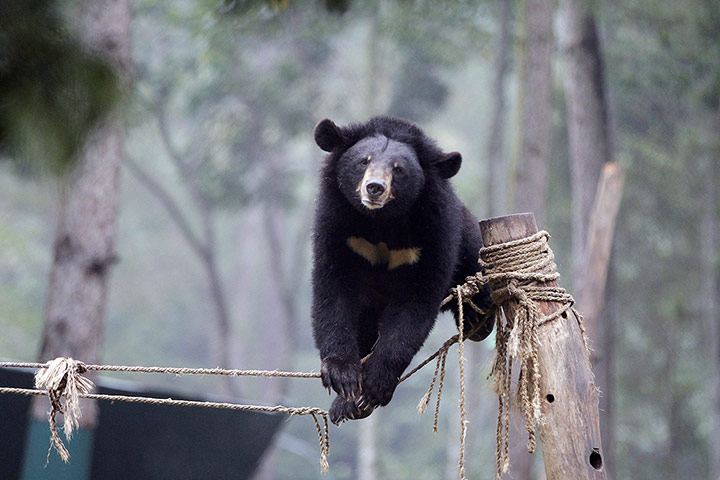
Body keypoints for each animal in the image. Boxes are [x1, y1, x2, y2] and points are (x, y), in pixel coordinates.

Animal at [311, 116, 493, 425]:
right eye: (363, 161)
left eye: (399, 169)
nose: (374, 188)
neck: (381, 221)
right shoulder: (337, 227)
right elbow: (333, 292)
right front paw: (343, 379)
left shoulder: (434, 232)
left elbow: (413, 308)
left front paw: (374, 387)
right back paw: (346, 406)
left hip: (470, 241)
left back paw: (477, 319)